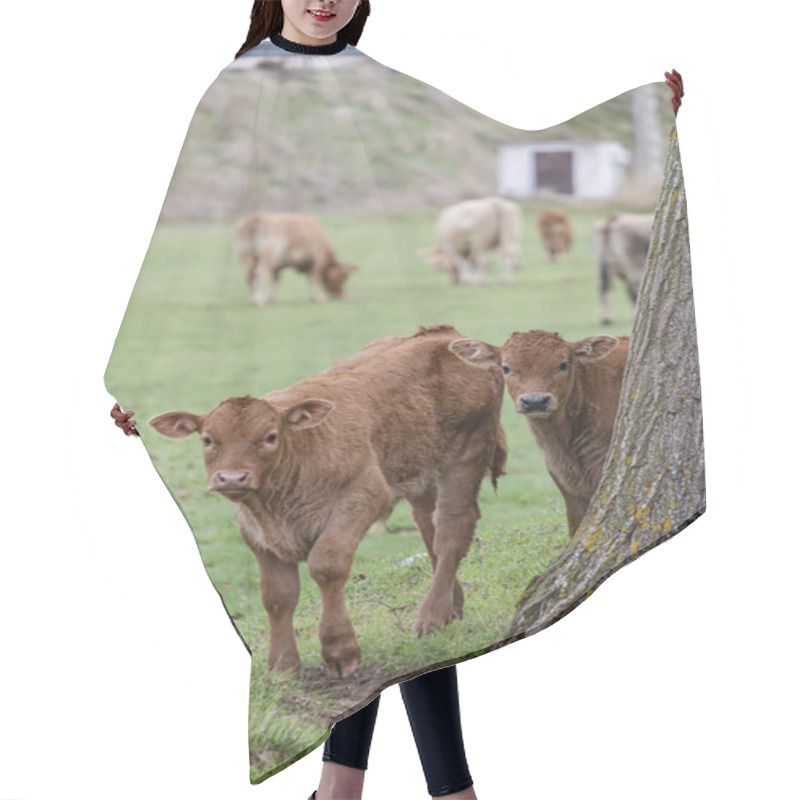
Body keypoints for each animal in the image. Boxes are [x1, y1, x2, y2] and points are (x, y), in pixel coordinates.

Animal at [150, 324, 506, 676]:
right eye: (208, 439)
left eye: (270, 437)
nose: (233, 478)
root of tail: (445, 335)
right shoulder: (256, 533)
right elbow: (277, 594)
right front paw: (282, 666)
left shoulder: (362, 499)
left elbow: (326, 565)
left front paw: (340, 651)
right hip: (420, 470)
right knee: (428, 529)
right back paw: (451, 608)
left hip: (466, 453)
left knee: (451, 530)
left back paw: (431, 617)